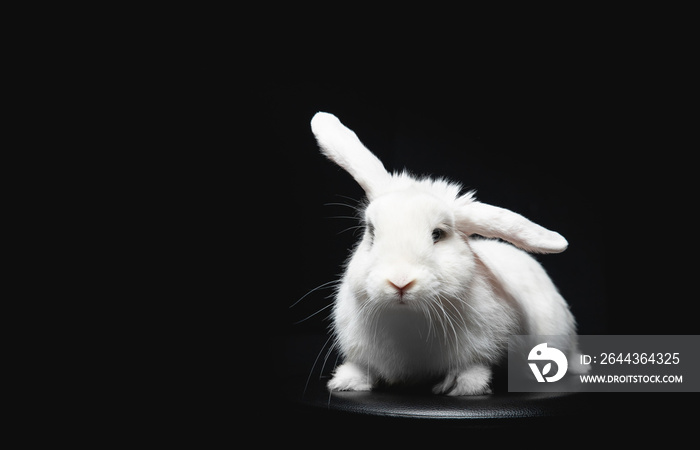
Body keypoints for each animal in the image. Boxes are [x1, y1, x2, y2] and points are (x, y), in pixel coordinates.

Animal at [308, 111, 584, 394]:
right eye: (372, 232)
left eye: (437, 234)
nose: (400, 282)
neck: (408, 319)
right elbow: (363, 368)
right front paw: (347, 380)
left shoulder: (481, 348)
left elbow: (474, 368)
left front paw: (459, 385)